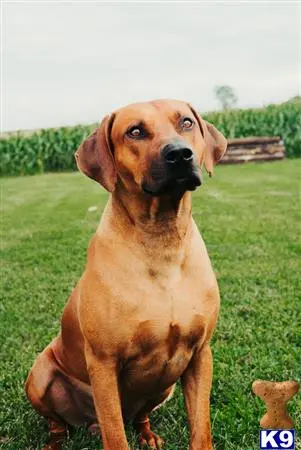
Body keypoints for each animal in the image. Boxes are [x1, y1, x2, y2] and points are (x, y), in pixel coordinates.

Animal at [25, 99, 225, 450]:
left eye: (186, 122)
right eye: (135, 131)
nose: (179, 154)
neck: (160, 239)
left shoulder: (200, 353)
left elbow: (201, 428)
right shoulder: (103, 362)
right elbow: (116, 434)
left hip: (163, 386)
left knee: (140, 415)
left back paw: (147, 434)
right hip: (40, 375)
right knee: (58, 423)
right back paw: (55, 441)